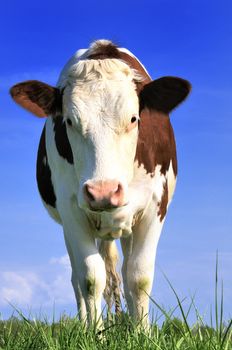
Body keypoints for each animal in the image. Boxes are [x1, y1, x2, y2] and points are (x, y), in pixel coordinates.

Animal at [10, 40, 190, 328]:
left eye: (133, 118)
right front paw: (95, 333)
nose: (103, 192)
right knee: (78, 278)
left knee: (124, 272)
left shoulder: (155, 207)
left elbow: (139, 277)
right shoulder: (72, 211)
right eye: (69, 121)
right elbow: (90, 278)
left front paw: (141, 332)